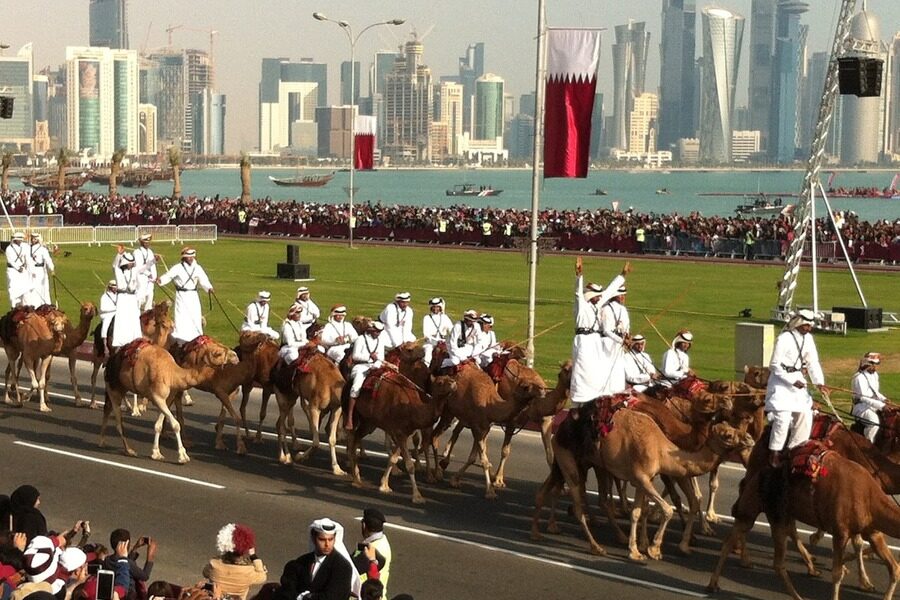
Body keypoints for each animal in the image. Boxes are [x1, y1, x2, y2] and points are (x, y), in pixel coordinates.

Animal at [100, 336, 237, 462]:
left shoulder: (166, 399)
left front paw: (156, 453)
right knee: (117, 420)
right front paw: (183, 456)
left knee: (108, 409)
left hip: (121, 387)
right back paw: (128, 450)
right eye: (217, 353)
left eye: (219, 343)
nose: (235, 356)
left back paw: (104, 442)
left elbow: (158, 425)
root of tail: (110, 360)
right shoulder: (158, 397)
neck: (172, 374)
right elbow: (176, 424)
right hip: (113, 387)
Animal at [268, 346, 346, 474]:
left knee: (279, 423)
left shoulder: (337, 408)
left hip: (292, 397)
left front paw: (337, 468)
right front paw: (299, 456)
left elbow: (332, 439)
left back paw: (284, 456)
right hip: (281, 394)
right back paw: (286, 457)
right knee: (281, 425)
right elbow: (316, 442)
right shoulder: (314, 407)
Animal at [346, 372, 458, 504]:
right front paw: (417, 496)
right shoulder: (400, 433)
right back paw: (356, 479)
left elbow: (393, 458)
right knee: (352, 438)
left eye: (449, 377)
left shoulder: (403, 434)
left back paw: (357, 476)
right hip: (356, 416)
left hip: (369, 423)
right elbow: (409, 465)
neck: (413, 408)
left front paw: (384, 485)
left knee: (356, 439)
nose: (454, 383)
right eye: (440, 382)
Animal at [536, 410, 752, 560]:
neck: (662, 450)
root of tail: (559, 428)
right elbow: (667, 510)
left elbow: (637, 512)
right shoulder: (642, 477)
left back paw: (543, 530)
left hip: (583, 463)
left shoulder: (642, 480)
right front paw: (654, 549)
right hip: (568, 458)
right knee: (576, 499)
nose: (749, 439)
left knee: (558, 488)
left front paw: (635, 550)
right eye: (727, 435)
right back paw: (595, 546)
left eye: (734, 428)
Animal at [708, 440, 900, 600]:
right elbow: (837, 574)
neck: (869, 497)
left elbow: (894, 568)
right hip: (757, 506)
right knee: (761, 551)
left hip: (778, 513)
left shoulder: (872, 531)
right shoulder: (841, 531)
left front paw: (868, 584)